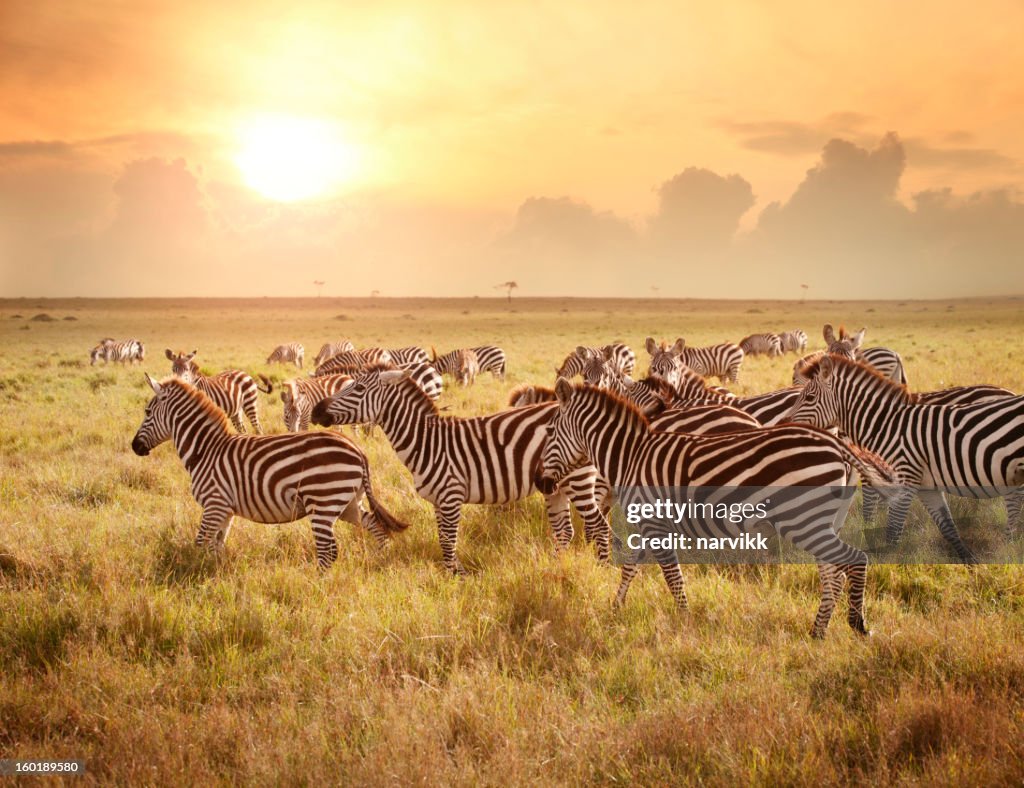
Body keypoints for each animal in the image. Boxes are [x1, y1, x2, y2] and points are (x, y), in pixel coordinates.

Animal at [132, 374, 407, 564]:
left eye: (147, 411)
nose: (135, 447)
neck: (206, 450)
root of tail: (358, 450)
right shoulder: (225, 510)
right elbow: (217, 546)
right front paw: (214, 574)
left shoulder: (214, 504)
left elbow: (200, 543)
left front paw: (194, 574)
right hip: (348, 502)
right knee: (374, 525)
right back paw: (380, 558)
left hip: (323, 502)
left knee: (328, 551)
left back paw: (318, 586)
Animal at [311, 362, 606, 573]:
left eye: (358, 389)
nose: (316, 411)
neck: (427, 442)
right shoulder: (437, 501)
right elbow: (442, 540)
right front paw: (448, 576)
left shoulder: (451, 496)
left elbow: (448, 541)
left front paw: (457, 578)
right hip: (555, 486)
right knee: (565, 531)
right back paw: (556, 568)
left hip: (578, 481)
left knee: (598, 525)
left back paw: (601, 568)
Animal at [540, 376, 901, 634]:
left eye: (550, 432)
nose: (542, 483)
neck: (631, 456)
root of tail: (837, 444)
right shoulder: (648, 523)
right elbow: (631, 566)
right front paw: (615, 608)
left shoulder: (655, 524)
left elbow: (672, 576)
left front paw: (685, 621)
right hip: (822, 521)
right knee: (833, 573)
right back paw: (817, 632)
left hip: (803, 519)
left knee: (853, 561)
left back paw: (857, 624)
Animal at [786, 352, 1019, 560]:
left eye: (808, 397)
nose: (786, 423)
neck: (884, 423)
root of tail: (1008, 392)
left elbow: (879, 511)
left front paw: (869, 533)